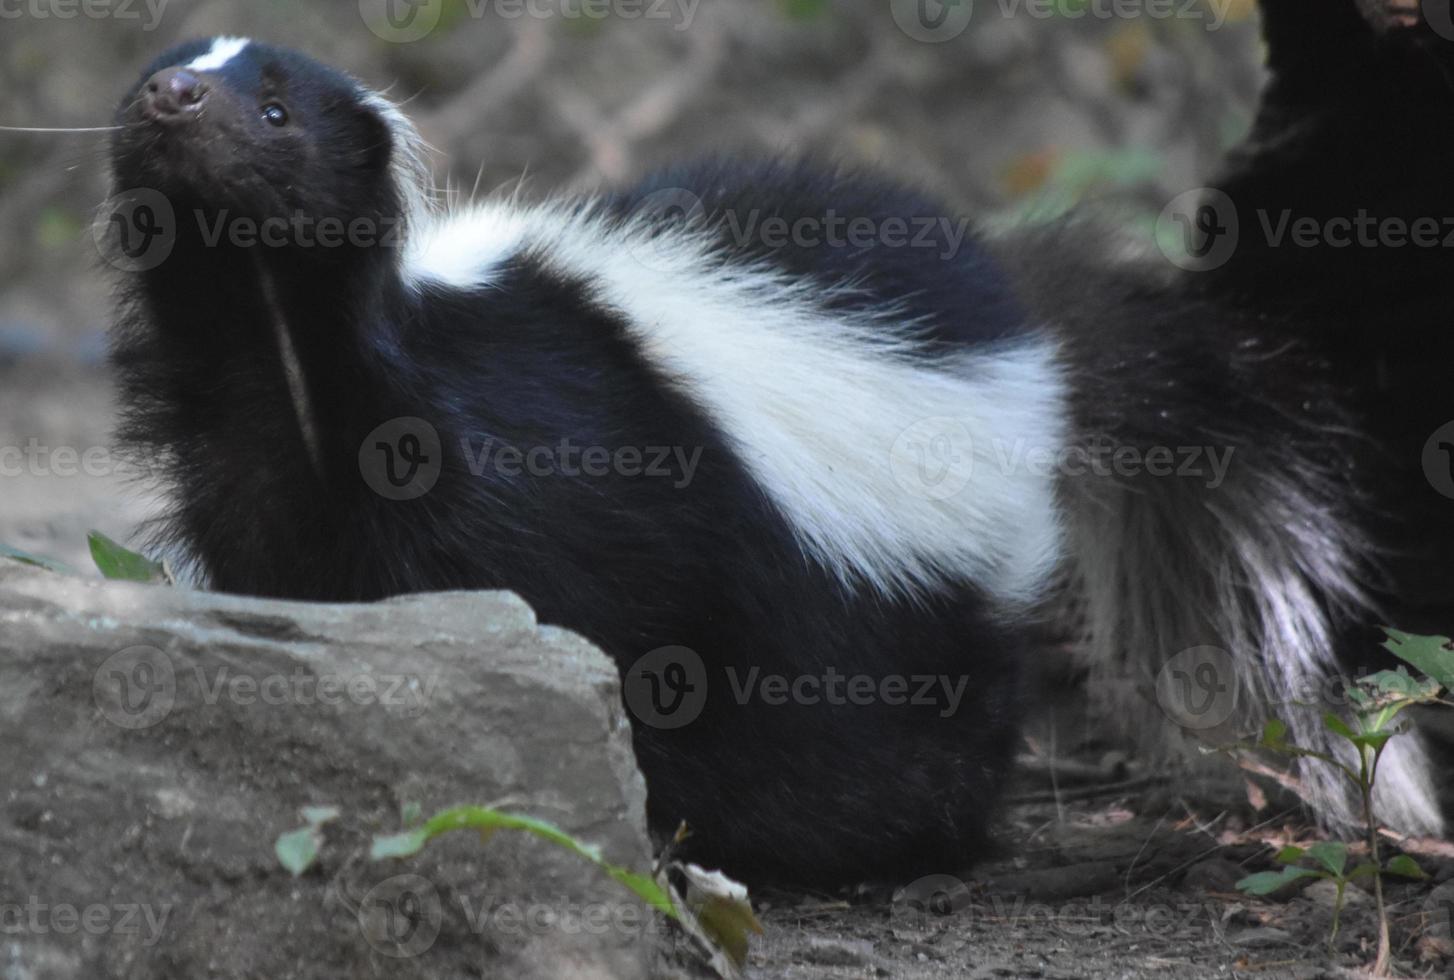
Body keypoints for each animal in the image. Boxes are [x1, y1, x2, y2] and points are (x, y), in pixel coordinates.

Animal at [107, 1, 1448, 884]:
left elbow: (570, 617)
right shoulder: (254, 473)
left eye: (274, 110)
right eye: (167, 76)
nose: (169, 97)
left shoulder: (537, 465)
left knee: (890, 727)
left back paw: (889, 845)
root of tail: (1021, 317)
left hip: (891, 611)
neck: (283, 349)